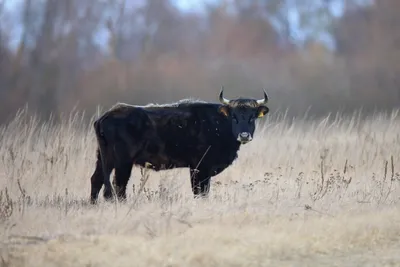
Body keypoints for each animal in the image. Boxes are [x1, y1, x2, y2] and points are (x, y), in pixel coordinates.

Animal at [89, 89, 270, 204]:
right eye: (234, 116)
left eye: (252, 117)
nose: (244, 135)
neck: (217, 123)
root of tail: (107, 115)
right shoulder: (200, 168)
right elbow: (200, 192)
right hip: (122, 163)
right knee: (119, 186)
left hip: (103, 159)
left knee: (96, 180)